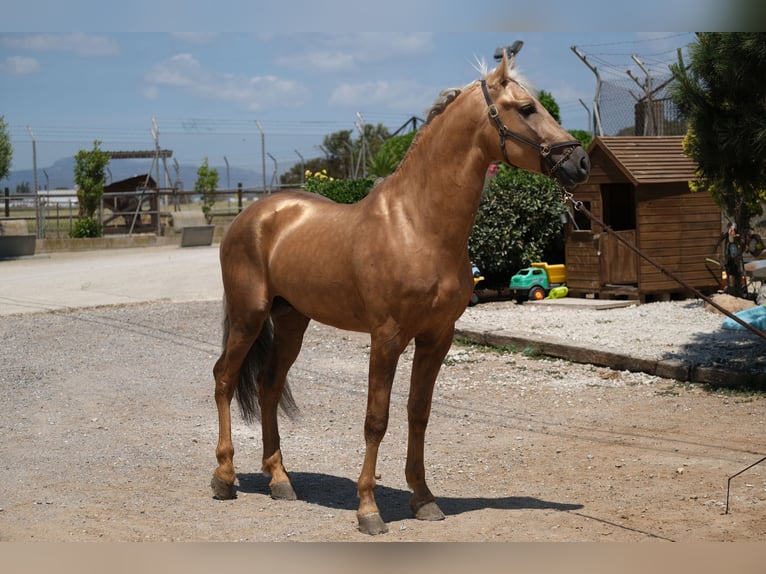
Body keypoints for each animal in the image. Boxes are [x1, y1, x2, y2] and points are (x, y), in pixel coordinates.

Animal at [213, 54, 592, 536]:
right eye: (526, 108)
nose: (580, 162)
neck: (417, 225)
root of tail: (252, 215)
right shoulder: (387, 337)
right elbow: (377, 420)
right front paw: (368, 509)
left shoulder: (437, 337)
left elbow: (418, 413)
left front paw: (424, 498)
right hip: (249, 315)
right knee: (224, 378)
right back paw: (224, 477)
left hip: (292, 320)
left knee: (267, 386)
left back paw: (280, 480)